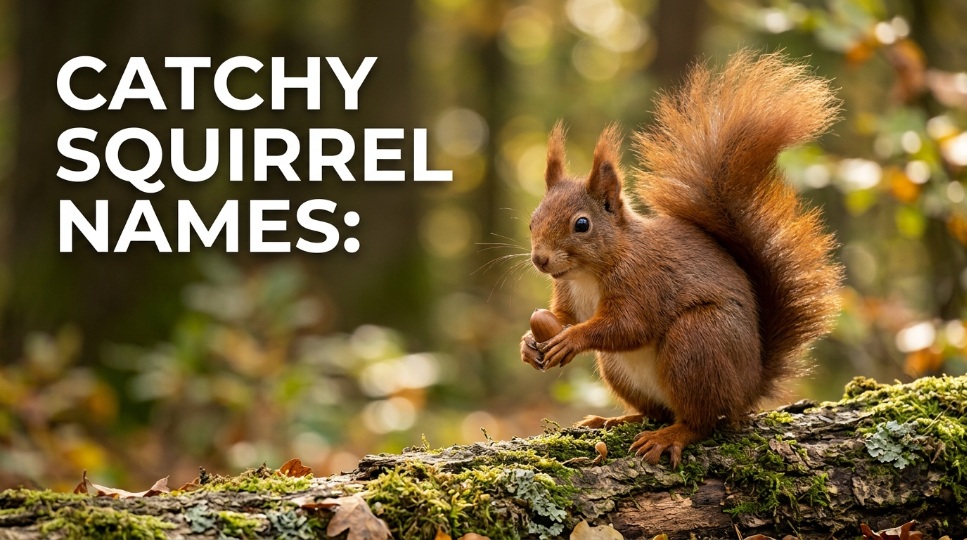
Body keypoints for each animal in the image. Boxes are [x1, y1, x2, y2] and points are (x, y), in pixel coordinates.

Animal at [519, 51, 844, 467]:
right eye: (532, 220)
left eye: (582, 224)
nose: (540, 260)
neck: (587, 274)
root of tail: (749, 387)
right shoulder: (568, 293)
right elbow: (562, 317)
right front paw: (530, 342)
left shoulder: (644, 282)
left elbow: (627, 326)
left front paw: (572, 340)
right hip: (620, 368)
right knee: (656, 410)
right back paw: (615, 419)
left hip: (696, 343)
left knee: (701, 420)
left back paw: (669, 436)